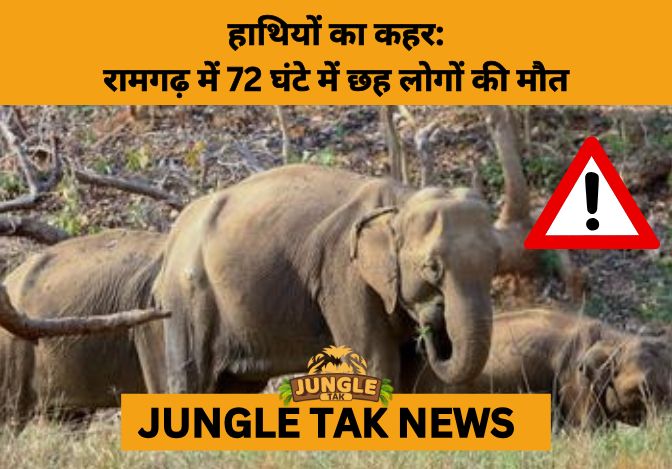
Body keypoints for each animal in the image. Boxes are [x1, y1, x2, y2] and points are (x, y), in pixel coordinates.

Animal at [147, 164, 500, 394]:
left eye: (494, 264)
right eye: (431, 267)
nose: (433, 315)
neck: (398, 202)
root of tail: (172, 239)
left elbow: (414, 374)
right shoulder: (341, 274)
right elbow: (374, 360)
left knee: (235, 387)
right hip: (187, 299)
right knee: (191, 378)